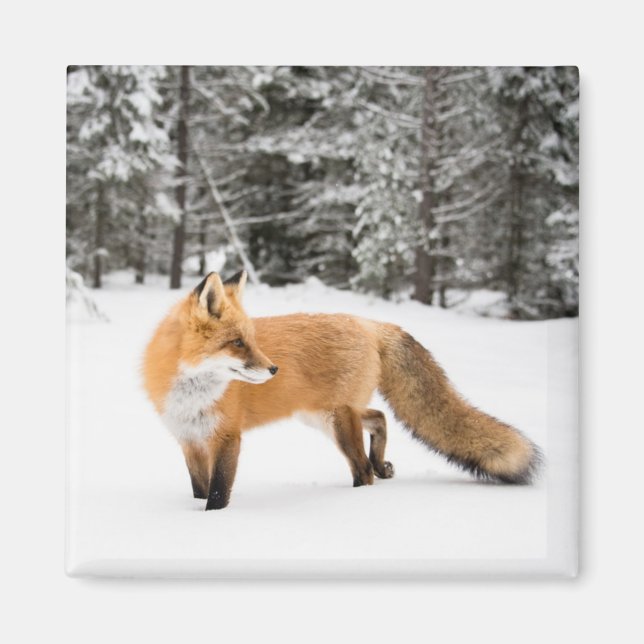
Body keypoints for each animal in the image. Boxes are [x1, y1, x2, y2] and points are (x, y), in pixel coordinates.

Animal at [142, 270, 542, 510]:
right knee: (379, 418)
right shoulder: (190, 440)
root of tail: (369, 323)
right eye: (237, 343)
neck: (191, 395)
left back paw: (356, 496)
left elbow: (218, 492)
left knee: (363, 469)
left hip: (336, 421)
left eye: (251, 340)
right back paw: (382, 465)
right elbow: (199, 488)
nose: (273, 369)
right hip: (323, 415)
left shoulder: (227, 437)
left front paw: (212, 521)